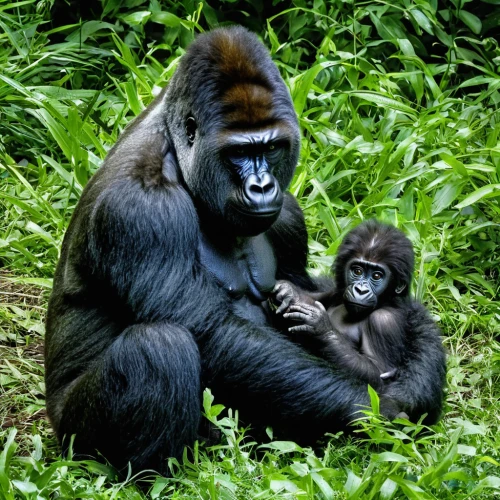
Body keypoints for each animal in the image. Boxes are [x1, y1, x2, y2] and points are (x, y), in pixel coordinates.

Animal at [47, 27, 396, 472]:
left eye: (270, 147)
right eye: (239, 152)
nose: (263, 186)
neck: (176, 150)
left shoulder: (288, 216)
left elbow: (302, 295)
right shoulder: (141, 208)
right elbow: (209, 330)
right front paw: (372, 409)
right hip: (71, 437)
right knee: (159, 347)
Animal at [274, 221, 446, 420]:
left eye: (377, 276)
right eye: (357, 271)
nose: (361, 289)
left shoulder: (384, 321)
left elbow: (378, 372)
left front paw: (320, 326)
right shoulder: (336, 293)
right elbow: (319, 295)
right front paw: (290, 292)